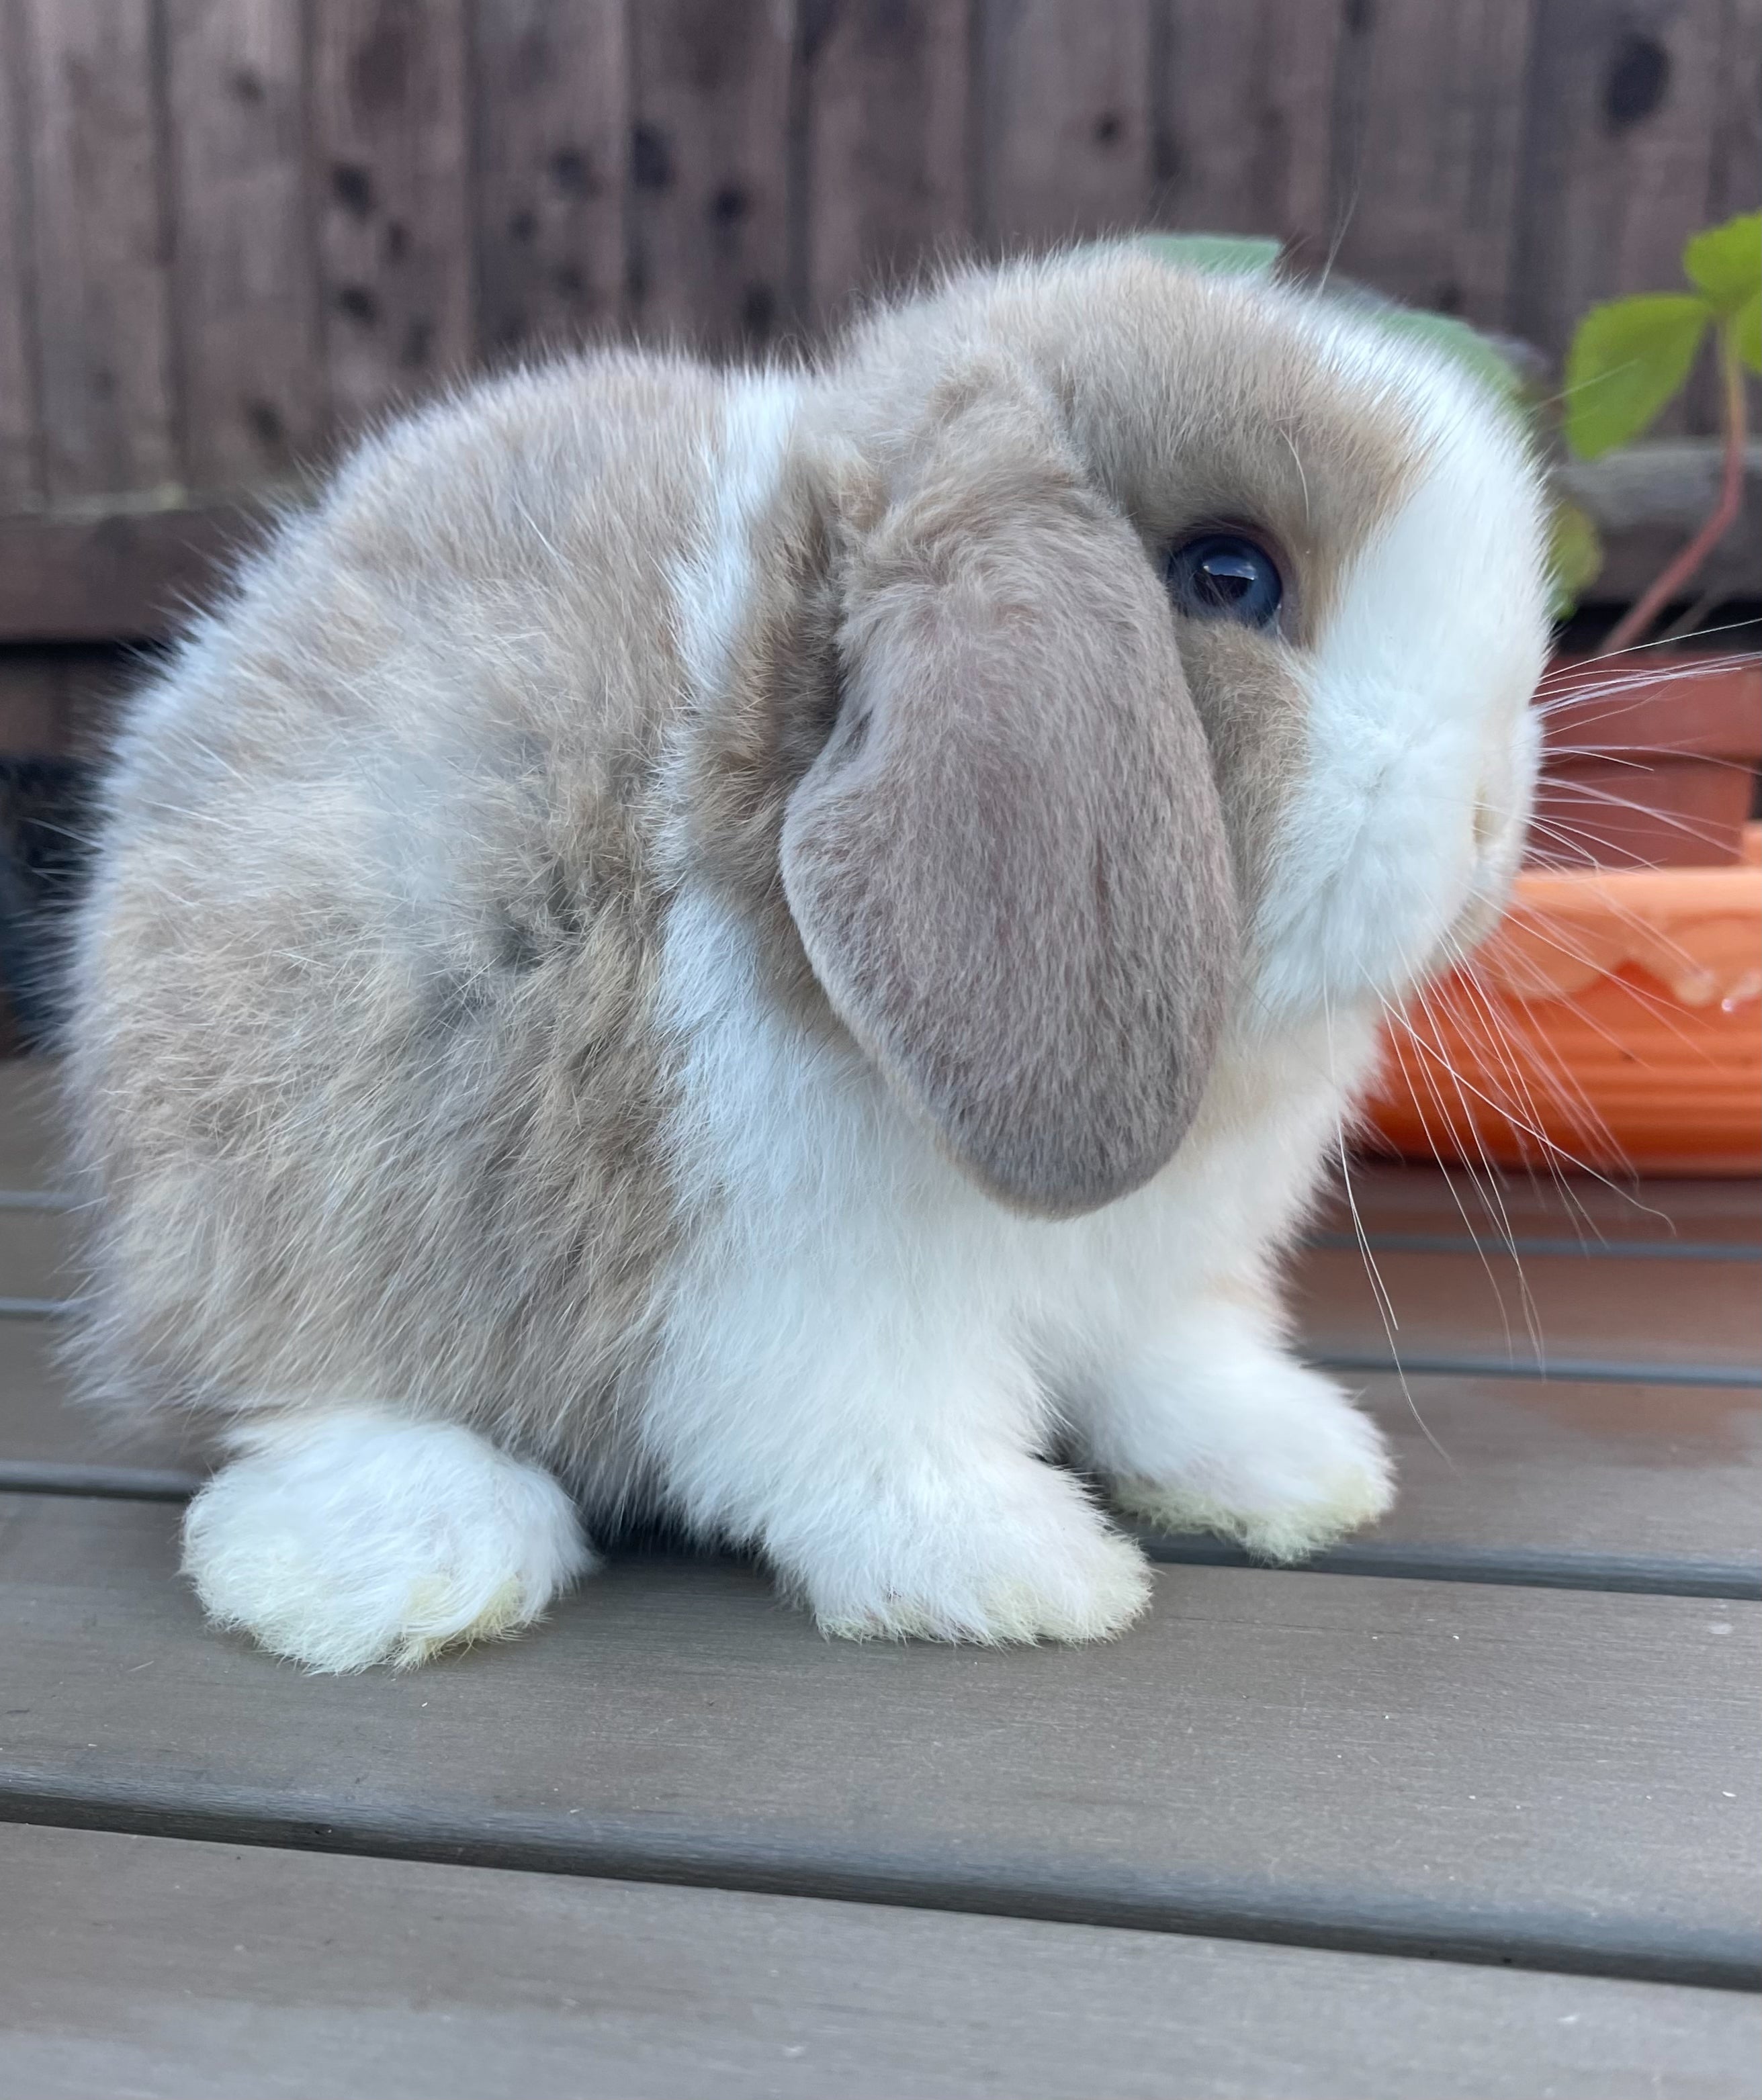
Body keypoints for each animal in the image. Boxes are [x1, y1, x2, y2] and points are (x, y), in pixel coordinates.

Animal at [58, 238, 1545, 1663]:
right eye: (1229, 576)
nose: (1488, 819)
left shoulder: (1160, 1289)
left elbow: (1172, 1372)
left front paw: (1291, 1467)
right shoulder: (799, 1306)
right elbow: (881, 1445)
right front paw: (1018, 1571)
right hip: (284, 1187)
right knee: (287, 1401)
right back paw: (408, 1566)